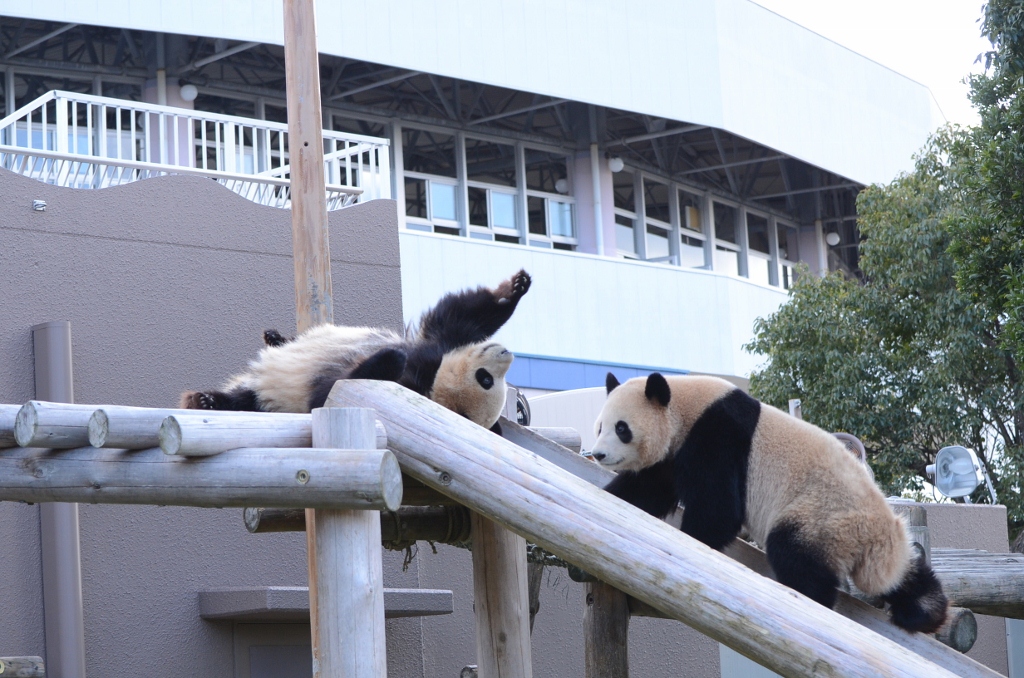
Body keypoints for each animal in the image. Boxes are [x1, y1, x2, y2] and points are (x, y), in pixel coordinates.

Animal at [177, 270, 532, 432]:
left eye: (487, 381)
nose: (507, 354)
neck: (432, 381)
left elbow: (329, 395)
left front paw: (389, 358)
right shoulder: (441, 345)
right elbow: (465, 315)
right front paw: (515, 288)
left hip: (271, 400)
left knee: (245, 401)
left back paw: (206, 401)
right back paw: (275, 339)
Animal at [598, 374, 946, 634]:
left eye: (621, 428)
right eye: (600, 426)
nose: (599, 454)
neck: (685, 406)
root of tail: (876, 536)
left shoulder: (716, 436)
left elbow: (719, 509)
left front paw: (693, 540)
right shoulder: (674, 453)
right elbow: (649, 486)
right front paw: (614, 496)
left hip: (823, 515)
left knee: (795, 555)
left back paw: (809, 600)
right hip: (879, 543)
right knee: (902, 573)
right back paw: (923, 610)